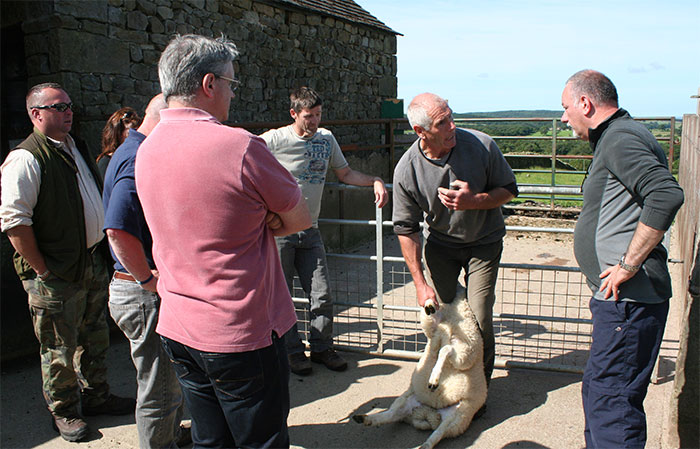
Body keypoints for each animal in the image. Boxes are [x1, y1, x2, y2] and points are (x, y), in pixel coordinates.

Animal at [352, 288, 490, 448]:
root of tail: (429, 412)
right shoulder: (433, 330)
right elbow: (431, 323)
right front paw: (429, 304)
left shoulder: (465, 354)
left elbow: (445, 349)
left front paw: (434, 380)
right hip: (404, 401)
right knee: (391, 415)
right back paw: (364, 418)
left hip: (457, 418)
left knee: (437, 434)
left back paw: (425, 445)